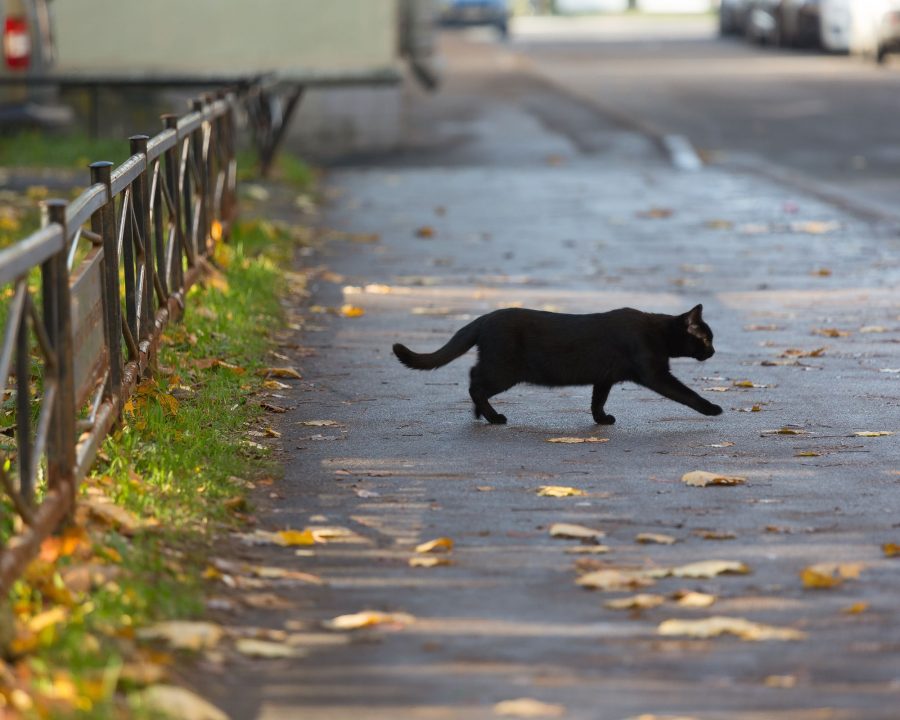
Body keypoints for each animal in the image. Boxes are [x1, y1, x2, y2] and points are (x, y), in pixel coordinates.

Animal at [390, 302, 720, 424]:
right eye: (706, 339)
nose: (714, 351)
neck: (658, 332)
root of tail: (485, 318)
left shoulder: (604, 376)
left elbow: (597, 400)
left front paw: (602, 419)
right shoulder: (655, 374)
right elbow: (686, 393)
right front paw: (712, 409)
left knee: (474, 377)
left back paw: (480, 414)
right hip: (504, 370)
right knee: (475, 382)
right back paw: (493, 417)